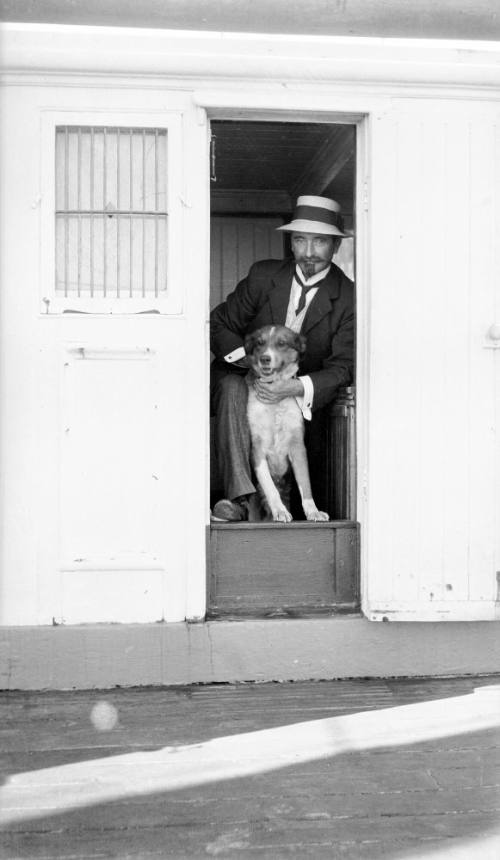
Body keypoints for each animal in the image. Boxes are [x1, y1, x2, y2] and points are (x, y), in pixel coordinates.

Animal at [244, 324, 330, 520]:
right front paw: (280, 510)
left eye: (282, 343)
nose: (265, 359)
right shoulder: (257, 448)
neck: (276, 404)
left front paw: (313, 511)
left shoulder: (298, 447)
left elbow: (305, 484)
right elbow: (269, 486)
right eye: (259, 343)